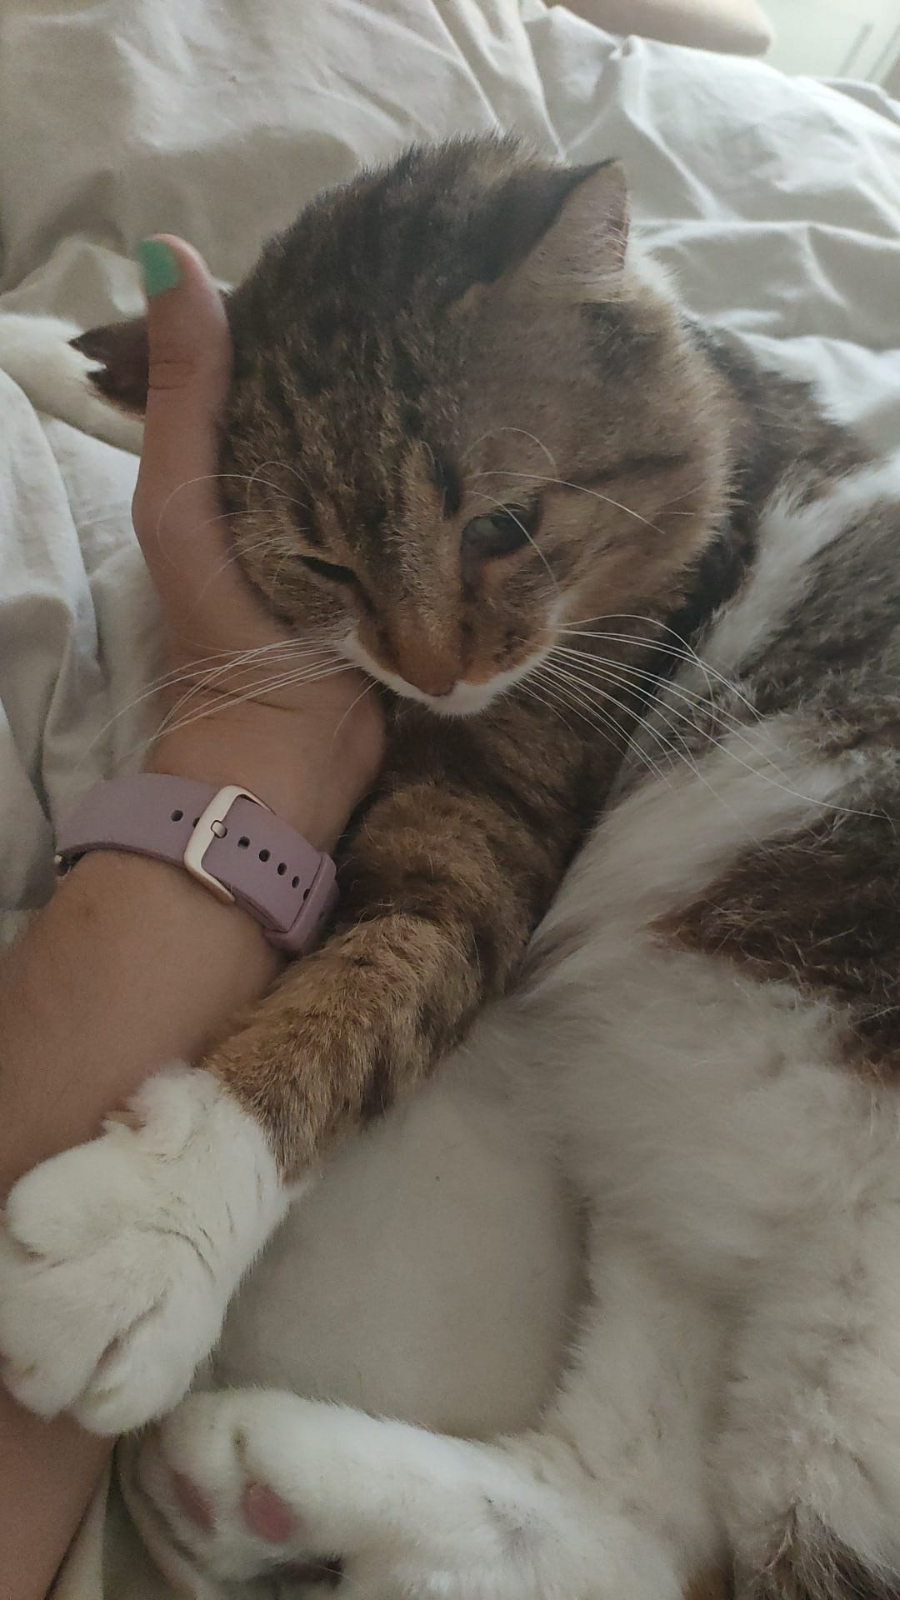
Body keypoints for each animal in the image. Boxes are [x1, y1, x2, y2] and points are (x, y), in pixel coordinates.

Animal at [3, 134, 900, 1600]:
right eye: (321, 563)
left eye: (504, 525)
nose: (432, 670)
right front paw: (56, 347)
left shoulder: (496, 819)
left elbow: (350, 1000)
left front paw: (154, 1233)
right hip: (690, 1182)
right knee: (637, 1512)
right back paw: (255, 1485)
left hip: (847, 1381)